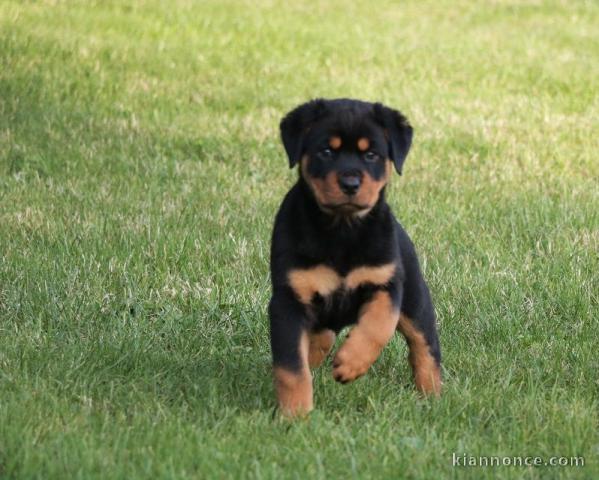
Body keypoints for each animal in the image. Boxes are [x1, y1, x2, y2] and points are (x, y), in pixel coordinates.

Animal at [270, 98, 442, 416]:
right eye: (326, 151)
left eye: (371, 154)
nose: (350, 182)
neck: (343, 229)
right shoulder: (288, 300)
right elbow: (291, 368)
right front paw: (295, 415)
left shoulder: (386, 284)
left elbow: (378, 325)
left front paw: (351, 363)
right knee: (321, 337)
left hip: (416, 300)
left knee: (425, 347)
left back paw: (432, 396)